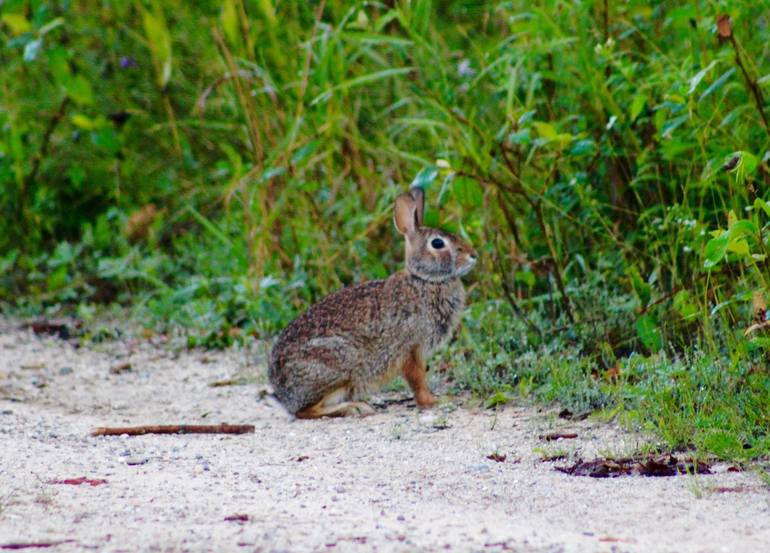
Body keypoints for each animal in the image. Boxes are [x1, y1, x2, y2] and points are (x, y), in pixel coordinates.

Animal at [268, 187, 474, 418]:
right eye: (438, 243)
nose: (473, 255)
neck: (424, 280)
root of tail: (283, 393)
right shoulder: (410, 349)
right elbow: (417, 380)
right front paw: (432, 402)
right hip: (339, 364)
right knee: (306, 411)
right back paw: (355, 407)